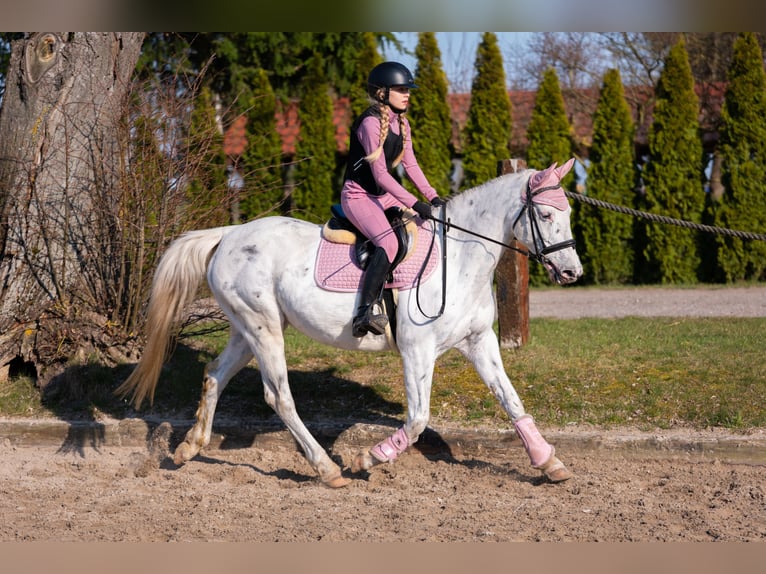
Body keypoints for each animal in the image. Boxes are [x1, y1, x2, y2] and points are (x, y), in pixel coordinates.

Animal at [116, 159, 583, 488]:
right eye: (544, 216)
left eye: (568, 215)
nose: (572, 273)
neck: (460, 256)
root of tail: (229, 234)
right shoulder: (417, 351)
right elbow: (417, 420)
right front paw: (367, 458)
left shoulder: (479, 341)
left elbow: (513, 403)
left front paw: (550, 463)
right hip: (264, 330)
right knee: (279, 397)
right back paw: (327, 469)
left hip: (249, 329)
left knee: (215, 375)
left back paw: (189, 448)